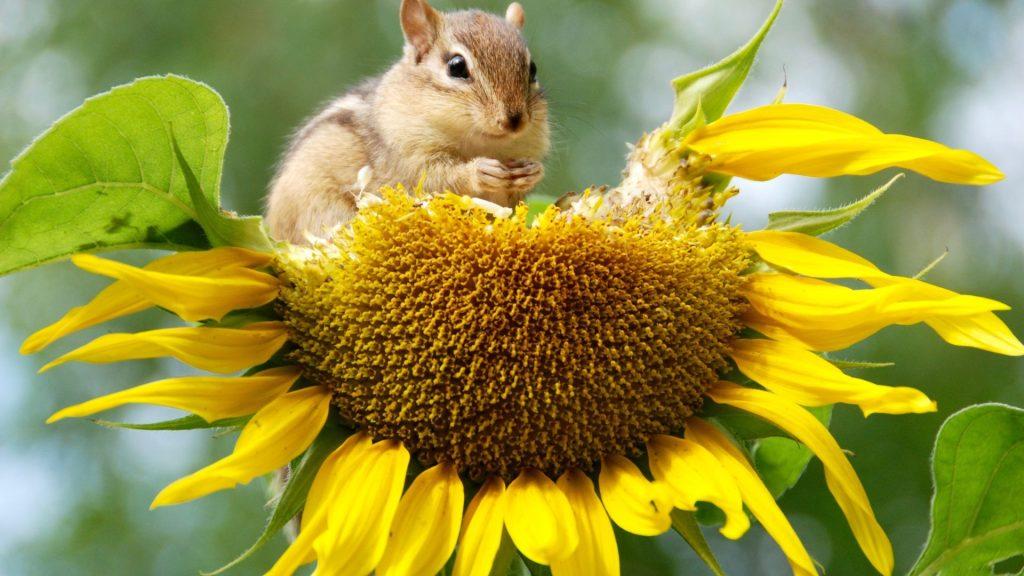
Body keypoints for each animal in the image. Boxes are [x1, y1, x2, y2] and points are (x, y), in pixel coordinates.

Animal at [265, 0, 550, 244]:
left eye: (533, 69)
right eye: (456, 66)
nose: (514, 121)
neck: (480, 143)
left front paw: (532, 171)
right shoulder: (407, 156)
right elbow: (437, 178)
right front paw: (479, 170)